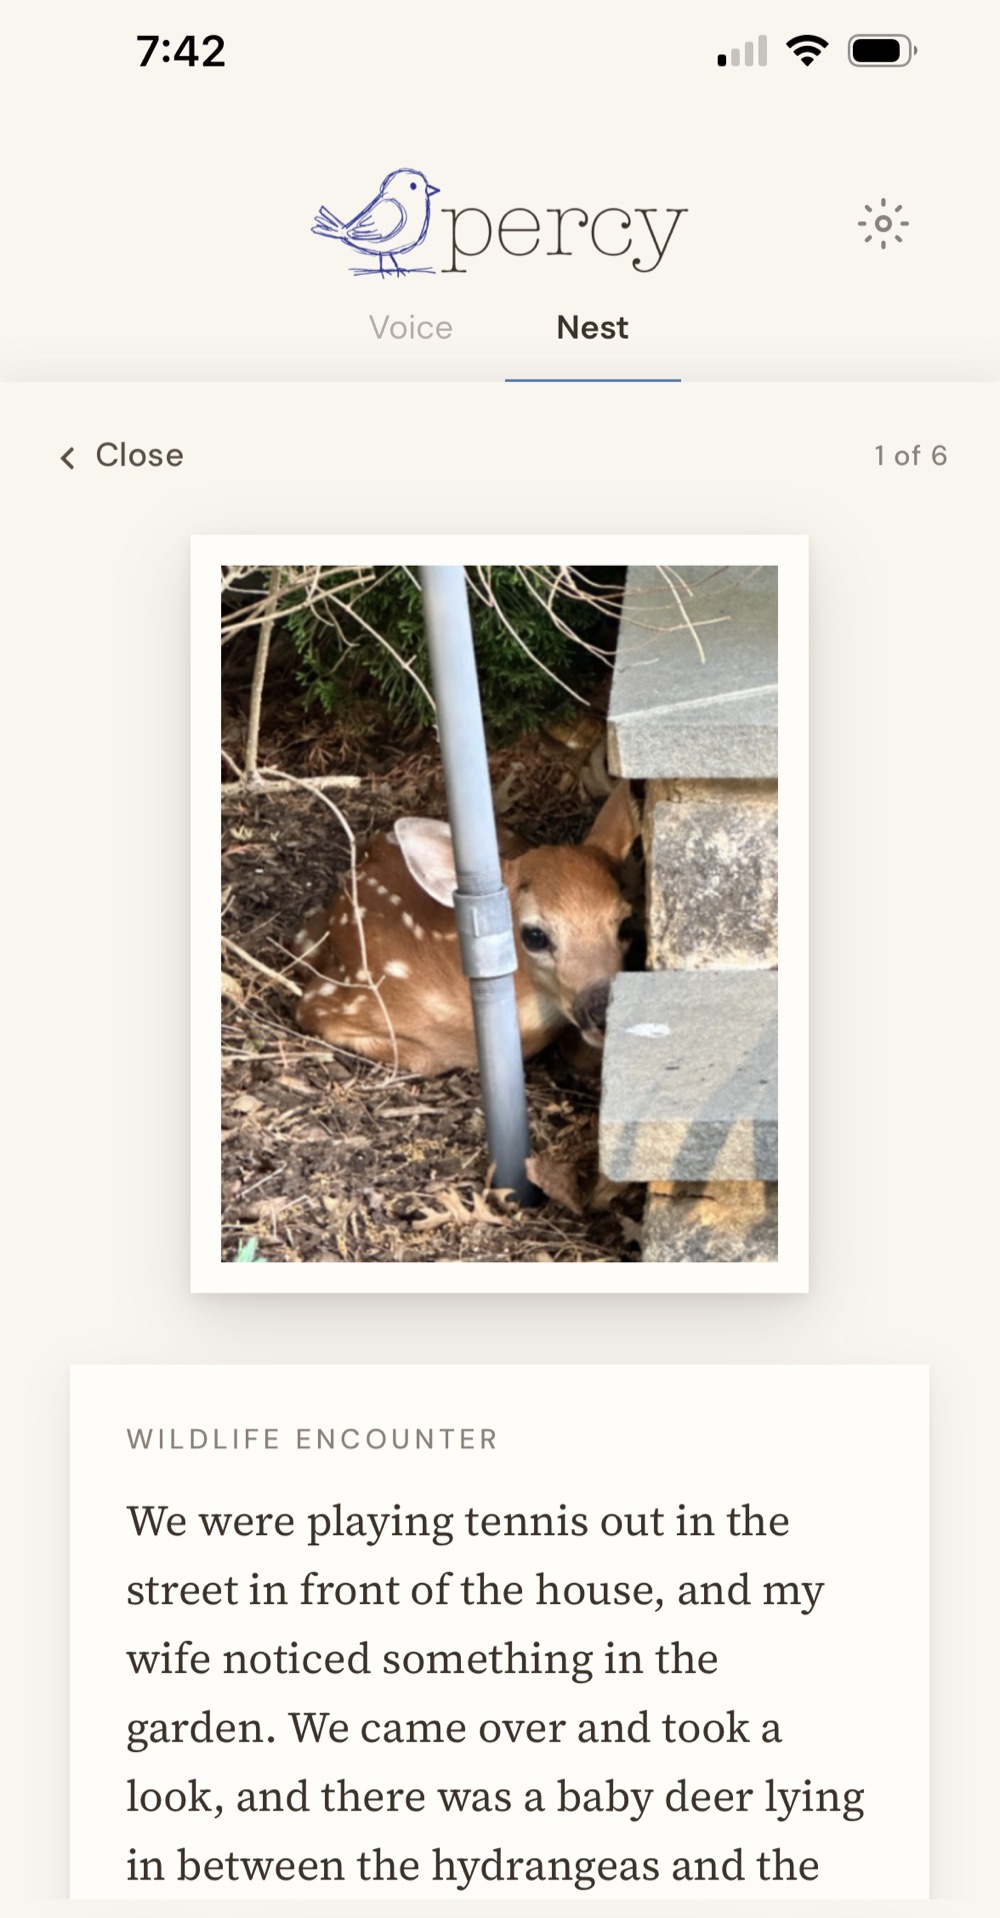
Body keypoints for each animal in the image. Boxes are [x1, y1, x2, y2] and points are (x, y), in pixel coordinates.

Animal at [292, 781, 640, 1076]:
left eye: (625, 924)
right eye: (535, 936)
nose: (603, 1011)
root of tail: (372, 844)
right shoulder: (330, 1001)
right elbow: (426, 1060)